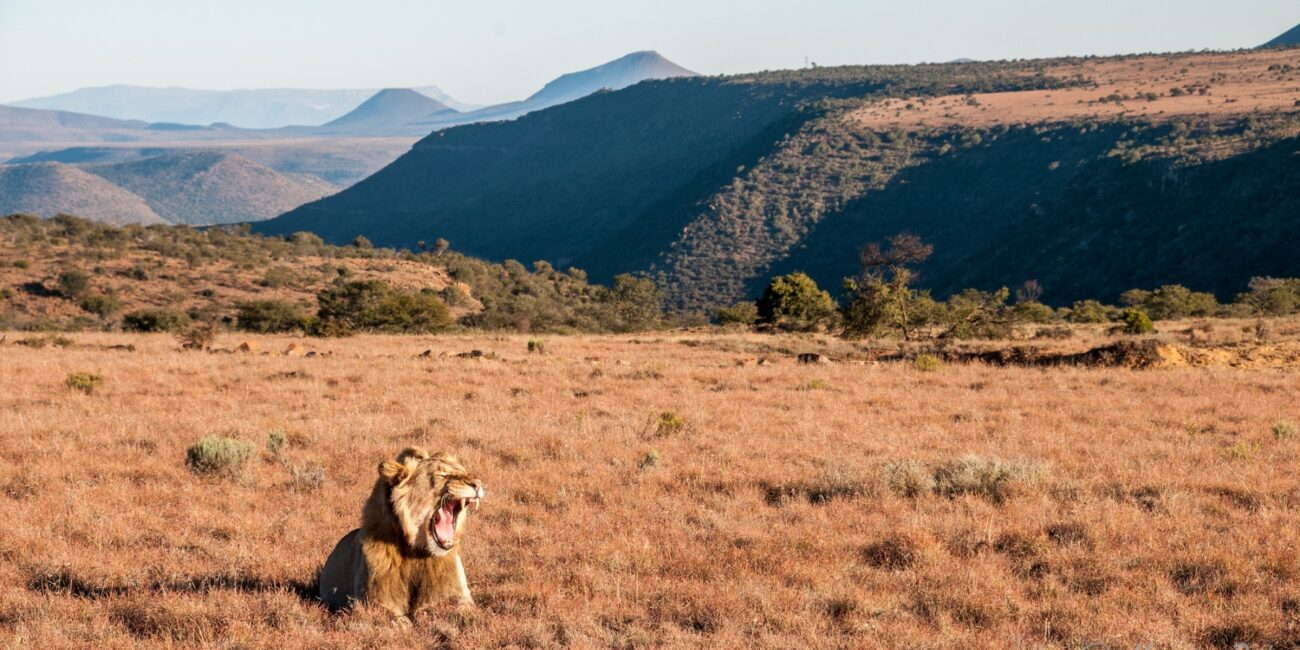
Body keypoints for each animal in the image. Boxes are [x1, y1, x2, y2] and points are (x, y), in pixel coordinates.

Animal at [321, 447, 488, 618]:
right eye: (442, 475)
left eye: (464, 471)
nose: (478, 484)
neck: (417, 553)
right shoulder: (372, 600)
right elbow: (394, 617)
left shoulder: (457, 594)